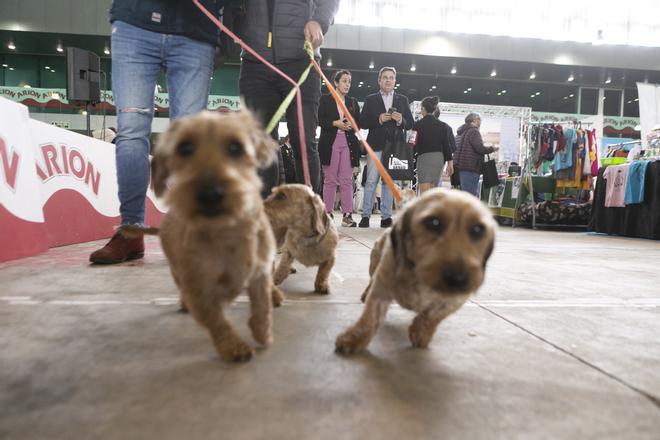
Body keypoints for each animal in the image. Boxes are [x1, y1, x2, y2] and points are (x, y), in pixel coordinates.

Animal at [150, 109, 284, 360]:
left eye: (235, 147)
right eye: (184, 148)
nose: (209, 194)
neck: (226, 229)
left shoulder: (260, 273)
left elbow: (262, 306)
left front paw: (262, 332)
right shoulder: (198, 288)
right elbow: (216, 321)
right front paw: (233, 346)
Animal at [336, 189, 496, 354]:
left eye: (478, 229)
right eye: (434, 222)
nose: (457, 279)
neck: (421, 277)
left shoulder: (453, 301)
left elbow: (433, 316)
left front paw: (421, 332)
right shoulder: (381, 289)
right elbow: (370, 317)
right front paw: (353, 338)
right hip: (374, 264)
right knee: (371, 280)